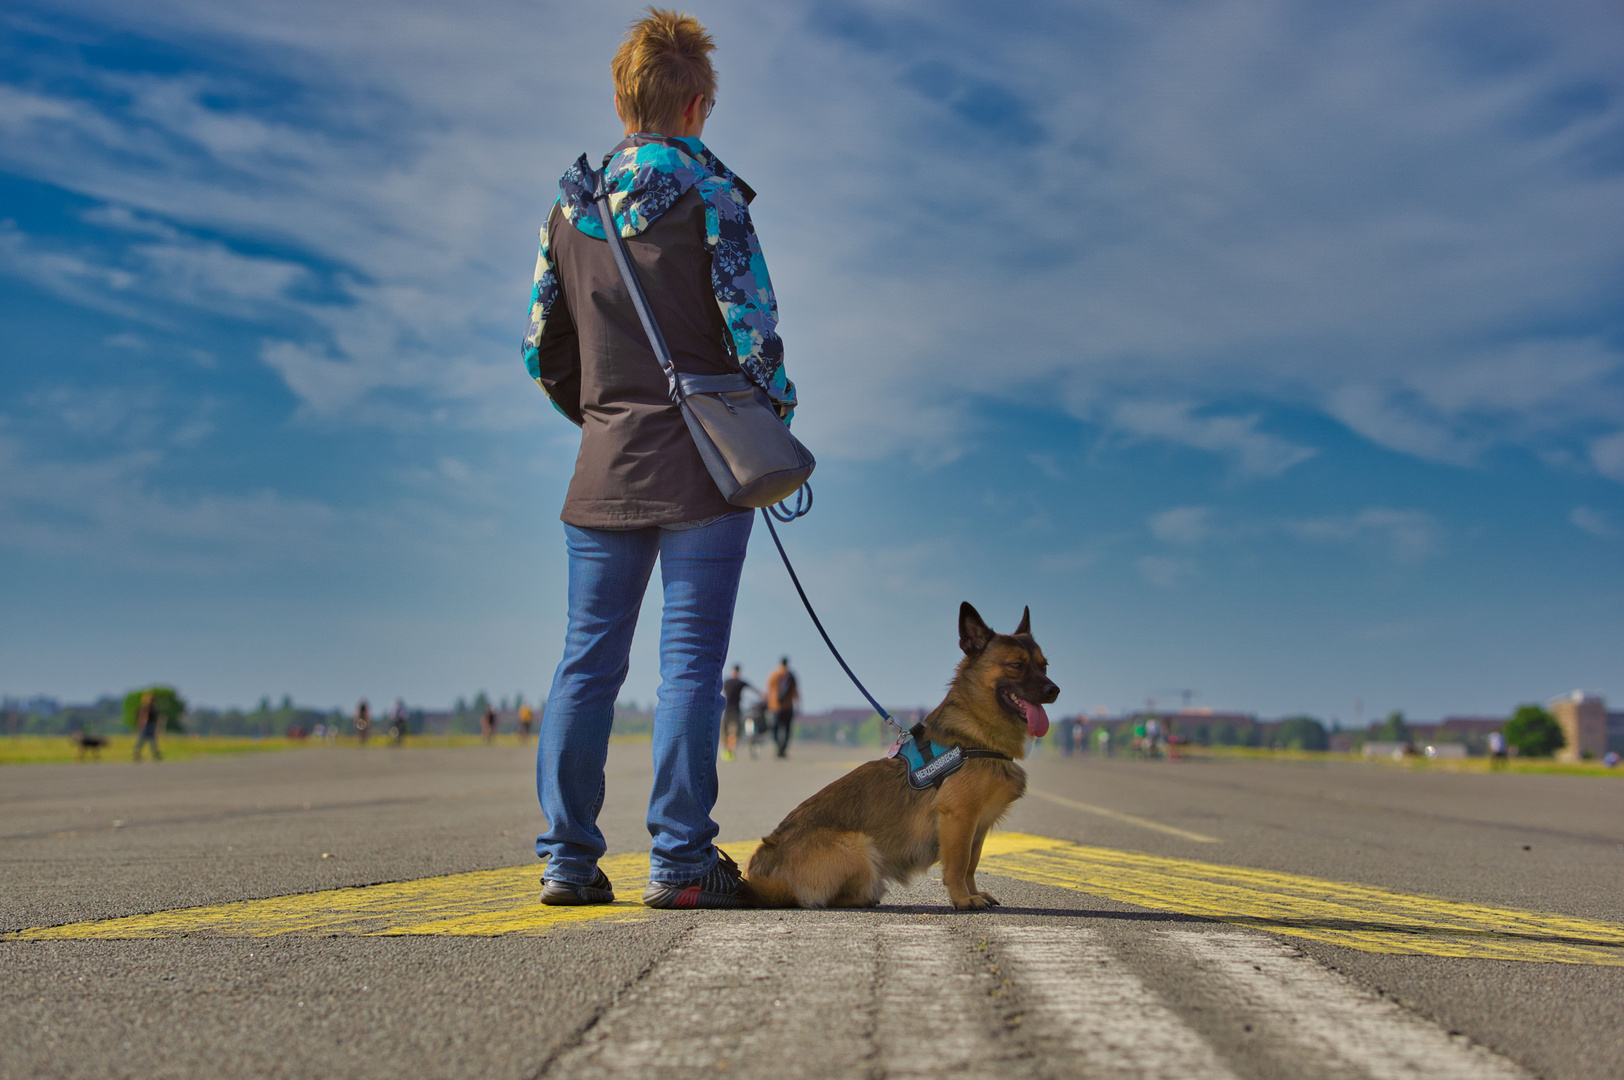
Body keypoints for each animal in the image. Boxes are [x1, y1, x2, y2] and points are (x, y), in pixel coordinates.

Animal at [743, 600, 1052, 902]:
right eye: (1015, 664)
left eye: (1044, 666)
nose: (1054, 690)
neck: (972, 737)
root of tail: (768, 857)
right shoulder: (959, 819)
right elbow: (958, 865)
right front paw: (964, 900)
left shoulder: (977, 826)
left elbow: (971, 866)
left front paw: (973, 894)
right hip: (860, 844)